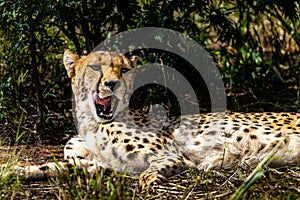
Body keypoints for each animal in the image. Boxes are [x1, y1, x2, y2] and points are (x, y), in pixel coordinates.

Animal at [12, 49, 298, 187]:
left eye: (124, 70)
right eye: (95, 67)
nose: (113, 84)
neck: (92, 124)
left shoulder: (171, 154)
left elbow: (152, 169)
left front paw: (150, 181)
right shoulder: (98, 166)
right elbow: (50, 166)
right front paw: (14, 171)